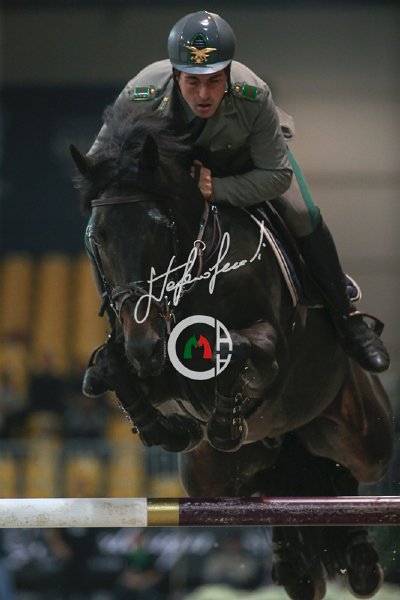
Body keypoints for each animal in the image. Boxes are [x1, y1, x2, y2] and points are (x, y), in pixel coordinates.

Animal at [70, 99, 394, 600]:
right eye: (97, 235)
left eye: (159, 228)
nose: (144, 344)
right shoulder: (137, 358)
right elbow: (105, 370)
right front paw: (163, 427)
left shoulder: (270, 348)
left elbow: (235, 347)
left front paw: (224, 421)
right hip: (208, 476)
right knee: (264, 490)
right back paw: (296, 568)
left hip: (366, 436)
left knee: (348, 474)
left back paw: (360, 559)